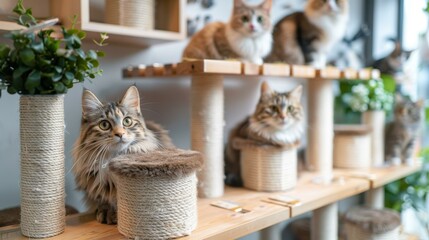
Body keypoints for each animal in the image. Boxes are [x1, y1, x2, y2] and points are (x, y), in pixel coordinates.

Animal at [72, 85, 174, 224]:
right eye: (104, 125)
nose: (120, 134)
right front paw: (107, 212)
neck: (114, 158)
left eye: (127, 121)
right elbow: (103, 199)